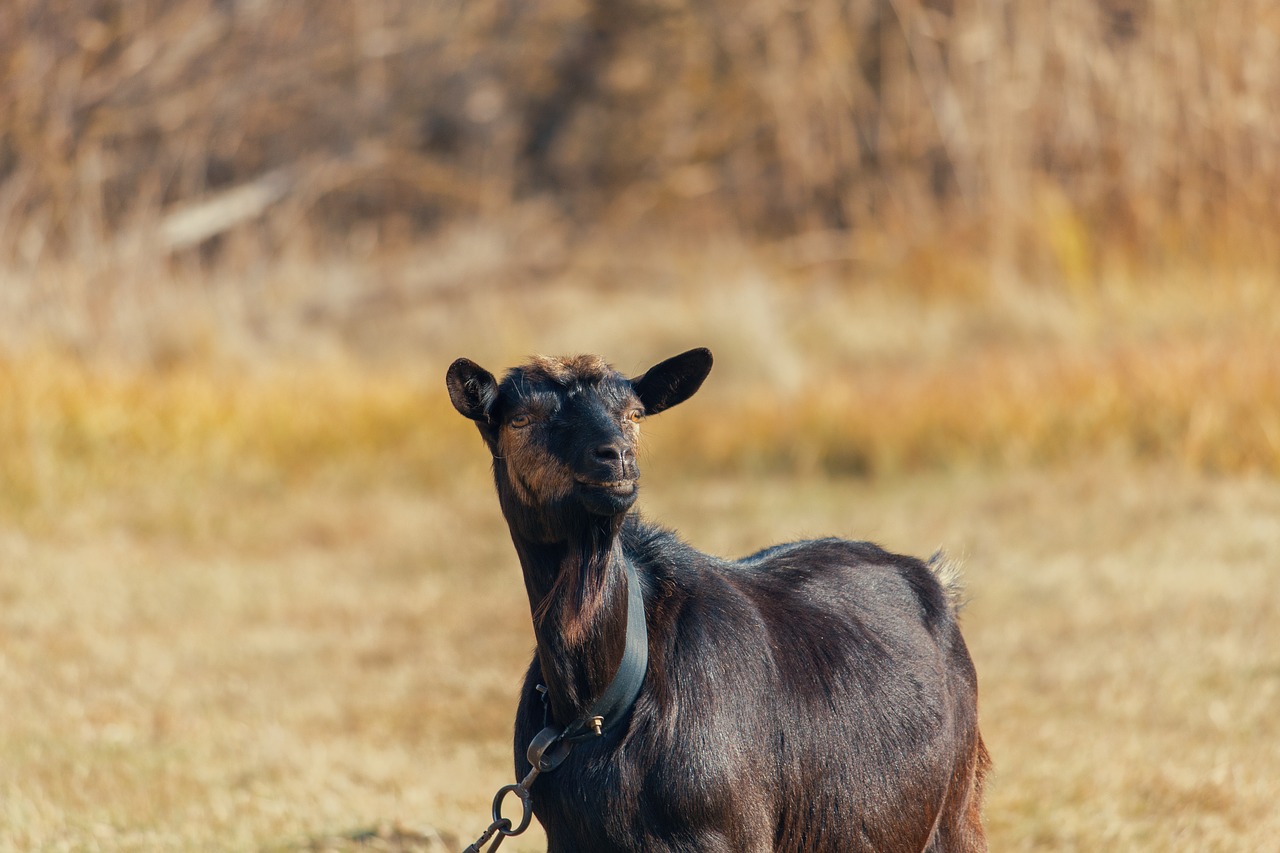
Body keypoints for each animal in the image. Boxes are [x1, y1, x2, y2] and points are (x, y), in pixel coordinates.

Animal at [445, 348, 993, 850]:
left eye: (634, 414)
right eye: (522, 418)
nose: (615, 457)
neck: (598, 703)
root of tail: (933, 579)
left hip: (957, 811)